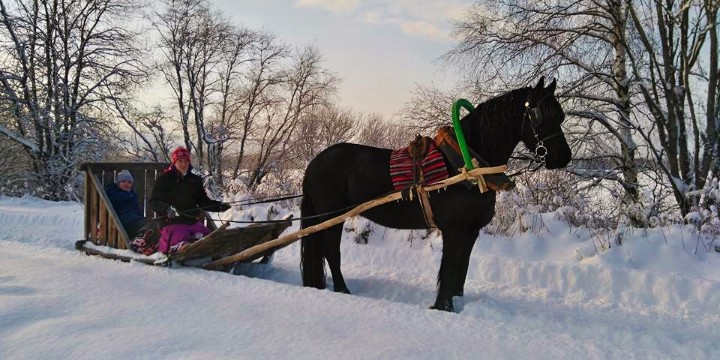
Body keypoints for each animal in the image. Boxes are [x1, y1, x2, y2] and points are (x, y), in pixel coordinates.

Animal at [296, 77, 568, 310]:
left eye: (561, 116)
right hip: (330, 217)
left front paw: (455, 303)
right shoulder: (454, 230)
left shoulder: (471, 231)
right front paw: (442, 307)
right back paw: (343, 290)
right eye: (539, 115)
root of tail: (314, 163)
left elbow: (461, 271)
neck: (466, 165)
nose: (564, 157)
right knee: (332, 253)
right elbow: (449, 269)